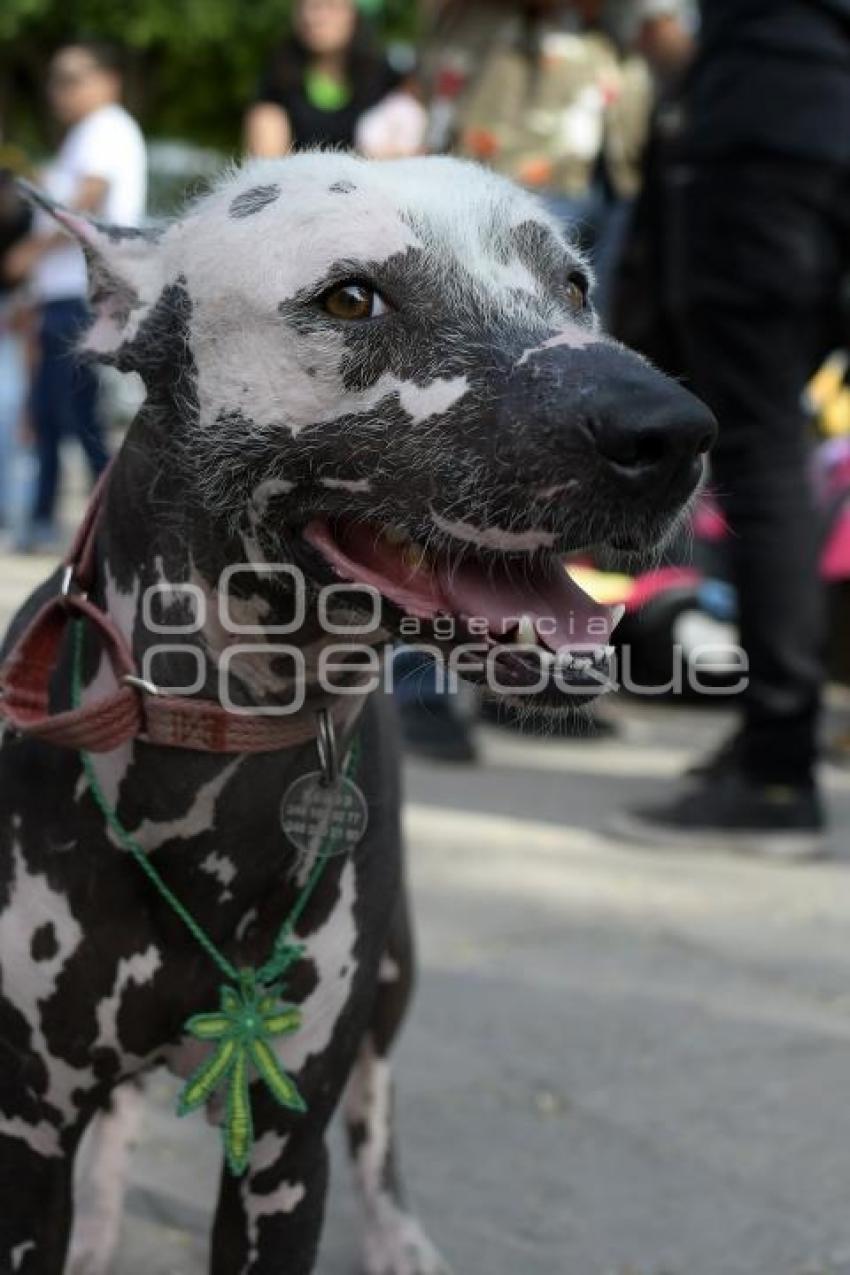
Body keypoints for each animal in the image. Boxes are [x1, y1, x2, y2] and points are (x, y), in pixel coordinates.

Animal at [0, 154, 713, 1269]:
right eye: (350, 298)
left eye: (572, 285)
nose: (673, 432)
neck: (205, 766)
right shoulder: (26, 1136)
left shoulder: (284, 1161)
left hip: (390, 983)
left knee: (379, 1110)